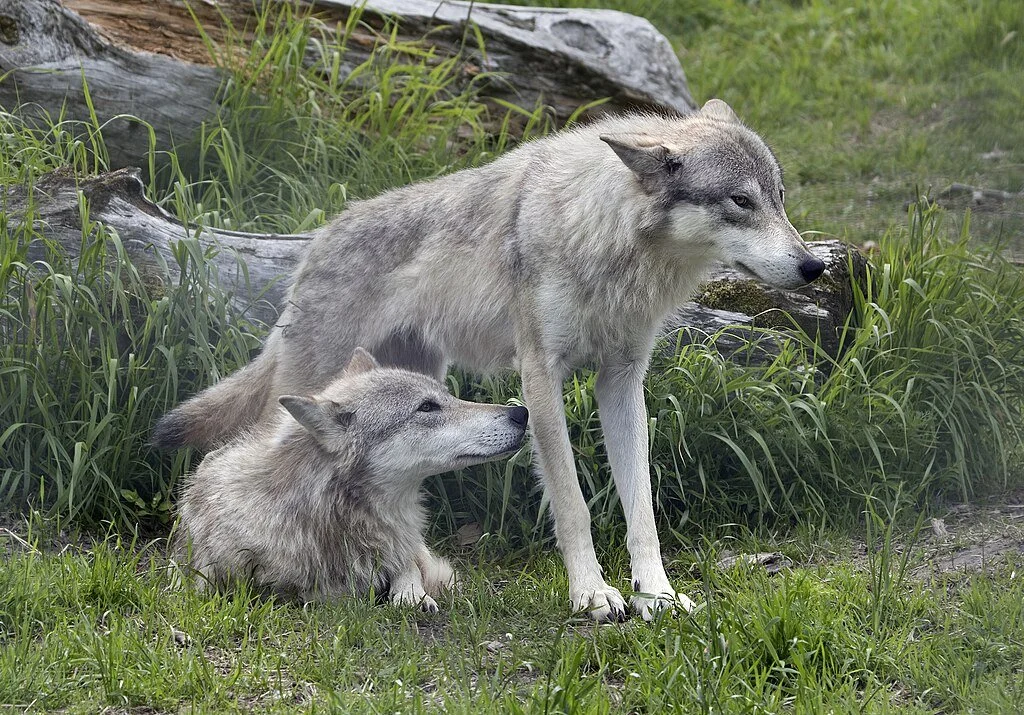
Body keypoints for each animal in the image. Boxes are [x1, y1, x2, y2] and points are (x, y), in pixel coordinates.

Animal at [176, 348, 529, 609]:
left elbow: (408, 568)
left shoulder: (403, 547)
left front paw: (412, 595)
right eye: (427, 407)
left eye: (449, 396)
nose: (521, 412)